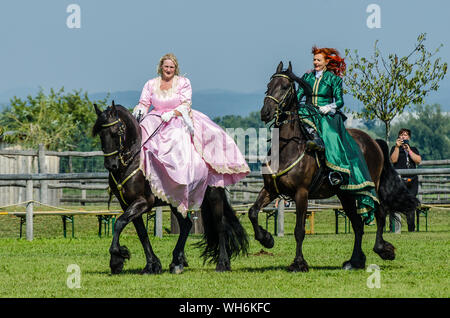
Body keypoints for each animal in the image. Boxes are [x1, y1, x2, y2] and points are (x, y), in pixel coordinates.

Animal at [92, 102, 248, 274]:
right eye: (101, 135)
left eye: (115, 133)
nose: (111, 165)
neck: (132, 161)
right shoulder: (127, 203)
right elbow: (141, 233)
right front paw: (151, 265)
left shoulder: (143, 201)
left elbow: (119, 223)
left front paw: (117, 258)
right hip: (176, 201)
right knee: (186, 225)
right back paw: (177, 262)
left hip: (214, 195)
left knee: (220, 226)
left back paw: (222, 264)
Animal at [248, 61, 416, 270]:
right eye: (268, 86)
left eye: (285, 87)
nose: (265, 112)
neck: (287, 148)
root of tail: (374, 141)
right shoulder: (271, 189)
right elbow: (253, 212)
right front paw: (266, 239)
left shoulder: (301, 193)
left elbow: (299, 230)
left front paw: (298, 264)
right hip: (346, 194)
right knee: (358, 225)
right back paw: (355, 261)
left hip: (370, 187)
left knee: (380, 213)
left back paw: (383, 250)